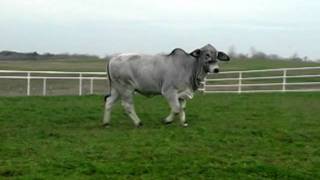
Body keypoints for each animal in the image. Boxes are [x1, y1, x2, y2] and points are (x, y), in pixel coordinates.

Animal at [101, 43, 229, 127]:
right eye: (206, 55)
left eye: (217, 54)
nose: (216, 69)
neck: (189, 67)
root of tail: (113, 58)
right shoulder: (169, 91)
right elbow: (176, 108)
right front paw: (167, 121)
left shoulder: (182, 93)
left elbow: (182, 108)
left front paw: (183, 122)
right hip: (126, 88)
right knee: (127, 105)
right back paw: (138, 122)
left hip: (117, 89)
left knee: (109, 101)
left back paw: (106, 123)